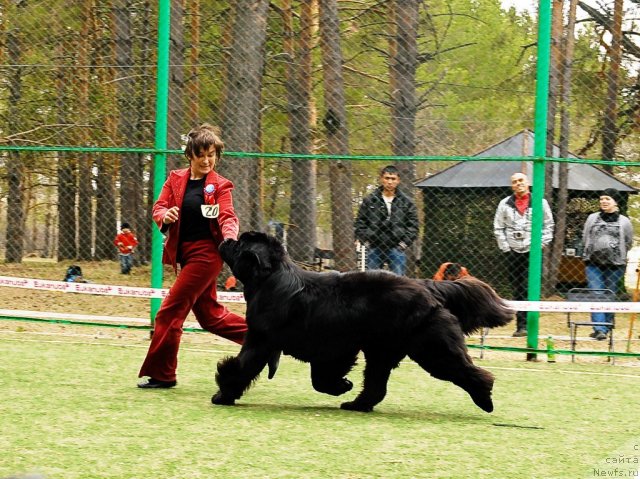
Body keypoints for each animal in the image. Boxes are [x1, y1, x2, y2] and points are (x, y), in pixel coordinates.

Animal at [215, 232, 516, 412]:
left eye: (240, 244)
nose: (226, 239)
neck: (270, 280)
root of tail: (427, 285)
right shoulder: (329, 351)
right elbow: (320, 378)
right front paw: (343, 386)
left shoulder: (263, 341)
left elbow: (241, 366)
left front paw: (223, 395)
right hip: (382, 350)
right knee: (376, 384)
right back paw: (357, 404)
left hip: (432, 348)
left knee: (467, 371)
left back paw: (485, 400)